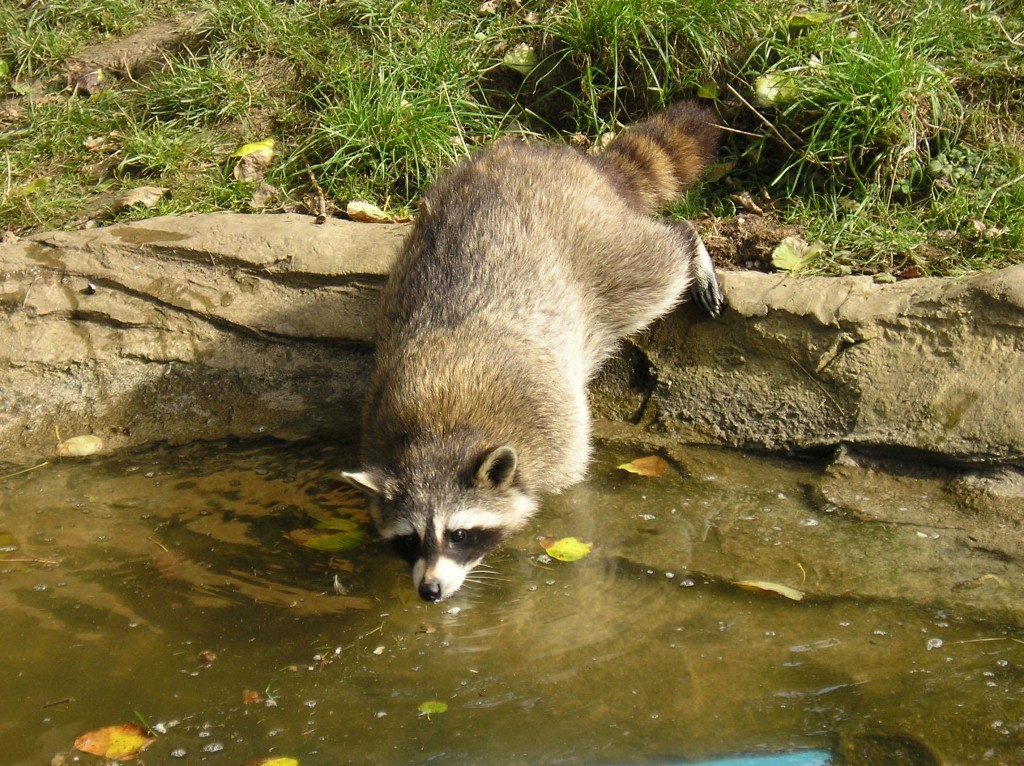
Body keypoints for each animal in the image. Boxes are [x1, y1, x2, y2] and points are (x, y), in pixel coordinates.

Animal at [343, 103, 722, 602]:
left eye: (459, 534)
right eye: (408, 539)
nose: (430, 591)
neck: (438, 436)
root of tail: (562, 158)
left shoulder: (553, 434)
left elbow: (569, 480)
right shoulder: (378, 415)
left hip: (597, 247)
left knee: (654, 267)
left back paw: (690, 244)